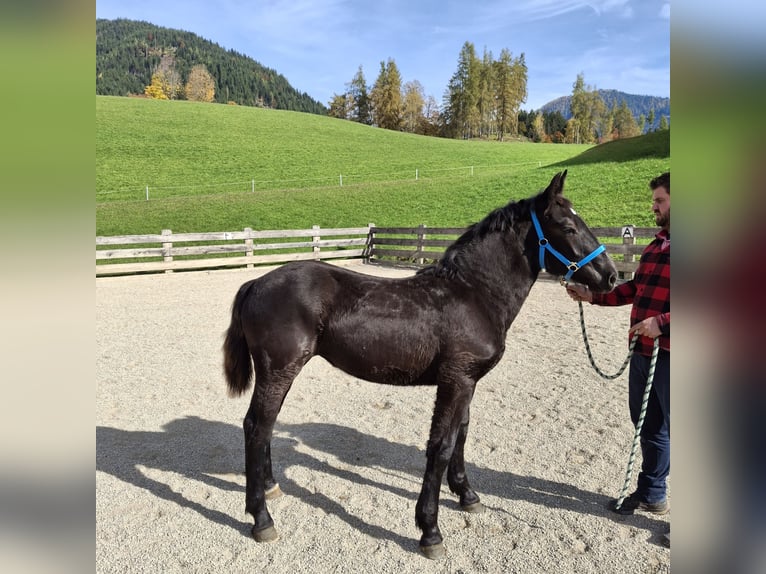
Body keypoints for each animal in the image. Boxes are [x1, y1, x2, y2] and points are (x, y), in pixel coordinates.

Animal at [222, 170, 617, 558]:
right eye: (567, 227)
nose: (611, 276)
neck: (473, 294)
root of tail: (256, 282)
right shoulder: (456, 380)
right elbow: (440, 446)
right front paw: (430, 531)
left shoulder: (468, 382)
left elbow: (462, 434)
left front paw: (467, 495)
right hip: (278, 371)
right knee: (256, 426)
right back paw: (261, 519)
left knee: (266, 426)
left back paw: (271, 488)